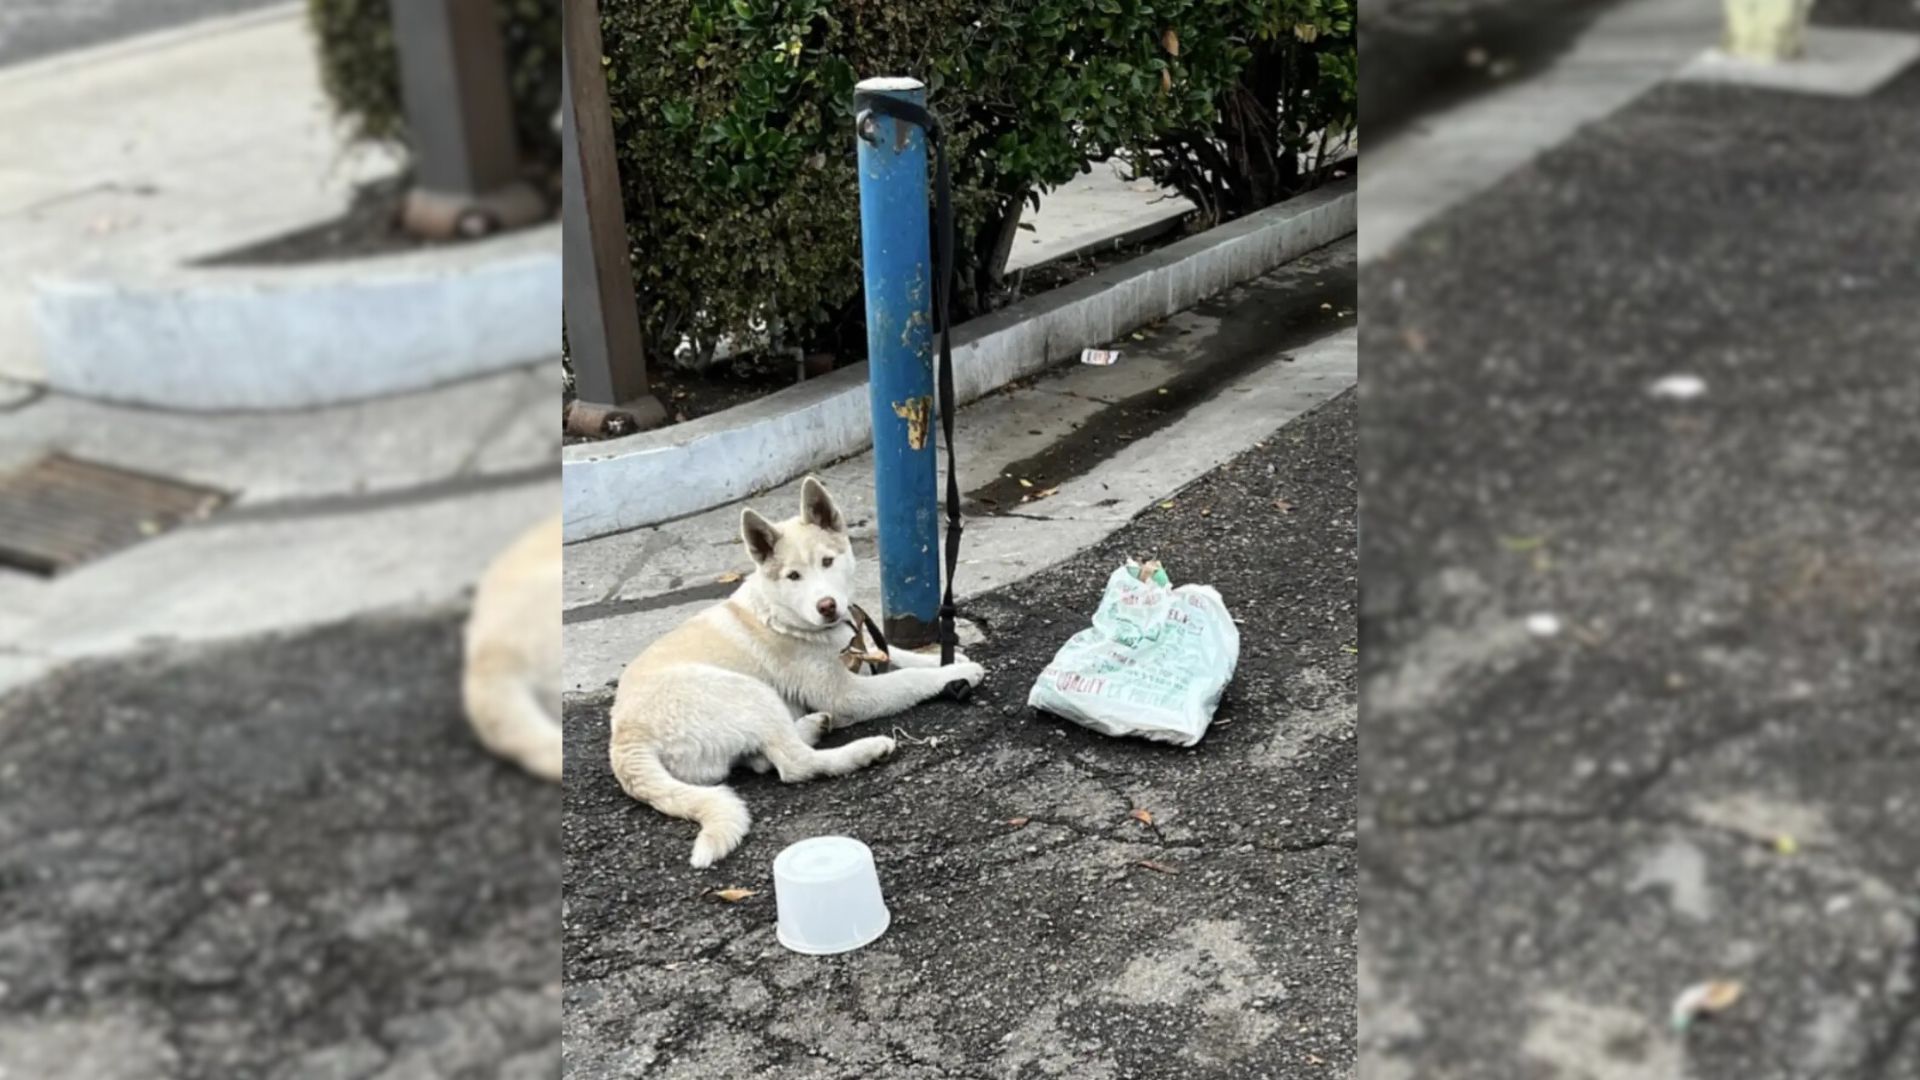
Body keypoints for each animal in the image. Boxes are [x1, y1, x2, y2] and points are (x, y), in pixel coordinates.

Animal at [606, 474, 983, 860]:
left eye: (827, 561)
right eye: (793, 576)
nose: (827, 606)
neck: (782, 615)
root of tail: (626, 740)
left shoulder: (858, 650)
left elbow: (893, 653)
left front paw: (948, 658)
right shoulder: (848, 695)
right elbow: (908, 679)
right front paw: (953, 674)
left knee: (764, 758)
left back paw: (813, 725)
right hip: (749, 692)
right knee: (794, 764)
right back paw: (861, 751)